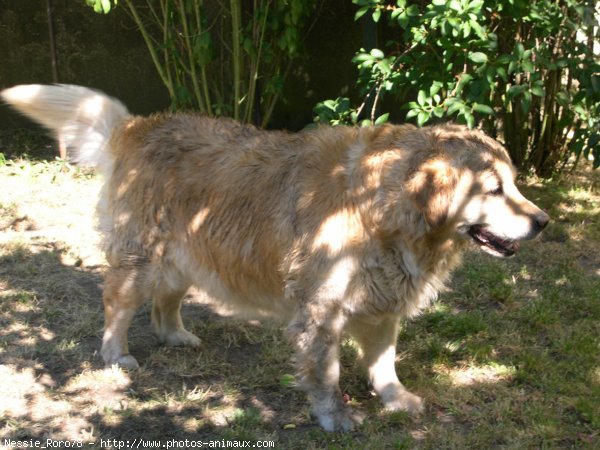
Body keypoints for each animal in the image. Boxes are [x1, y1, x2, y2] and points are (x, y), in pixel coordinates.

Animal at [1, 84, 548, 432]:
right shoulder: (322, 310)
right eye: (494, 190)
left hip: (189, 255)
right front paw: (334, 417)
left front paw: (395, 399)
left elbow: (385, 364)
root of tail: (139, 125)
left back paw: (176, 335)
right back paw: (116, 354)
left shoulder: (382, 306)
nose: (543, 221)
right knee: (117, 303)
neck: (384, 205)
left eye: (515, 184)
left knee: (164, 304)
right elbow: (326, 374)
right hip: (142, 259)